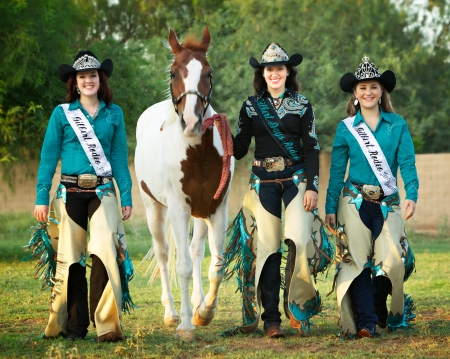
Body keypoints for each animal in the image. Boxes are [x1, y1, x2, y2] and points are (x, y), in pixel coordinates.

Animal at [134, 27, 234, 340]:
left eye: (209, 73)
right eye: (173, 73)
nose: (191, 121)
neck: (196, 154)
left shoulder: (216, 208)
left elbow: (216, 265)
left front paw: (204, 312)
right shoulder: (179, 210)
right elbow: (183, 267)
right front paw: (187, 325)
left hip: (199, 215)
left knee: (196, 251)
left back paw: (197, 302)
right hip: (154, 209)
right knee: (165, 255)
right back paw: (171, 312)